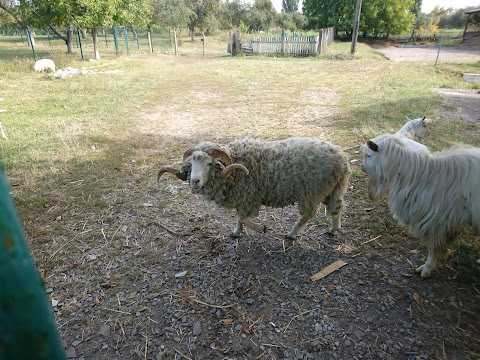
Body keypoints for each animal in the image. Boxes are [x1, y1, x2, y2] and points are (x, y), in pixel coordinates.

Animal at [362, 135, 478, 278]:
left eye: (369, 155)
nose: (362, 167)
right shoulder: (449, 223)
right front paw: (445, 254)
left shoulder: (436, 222)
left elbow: (434, 248)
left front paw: (426, 268)